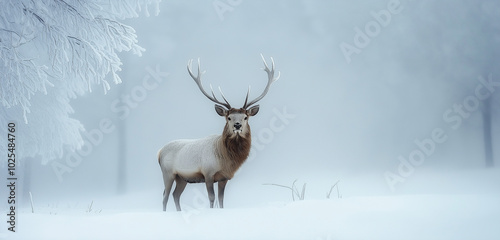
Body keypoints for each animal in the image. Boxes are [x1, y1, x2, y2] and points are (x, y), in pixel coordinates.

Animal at [158, 55, 280, 211]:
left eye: (245, 117)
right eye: (229, 117)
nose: (237, 125)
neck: (225, 160)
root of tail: (159, 152)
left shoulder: (224, 178)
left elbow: (221, 199)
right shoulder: (208, 173)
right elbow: (211, 198)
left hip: (181, 178)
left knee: (175, 195)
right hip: (168, 173)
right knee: (165, 196)